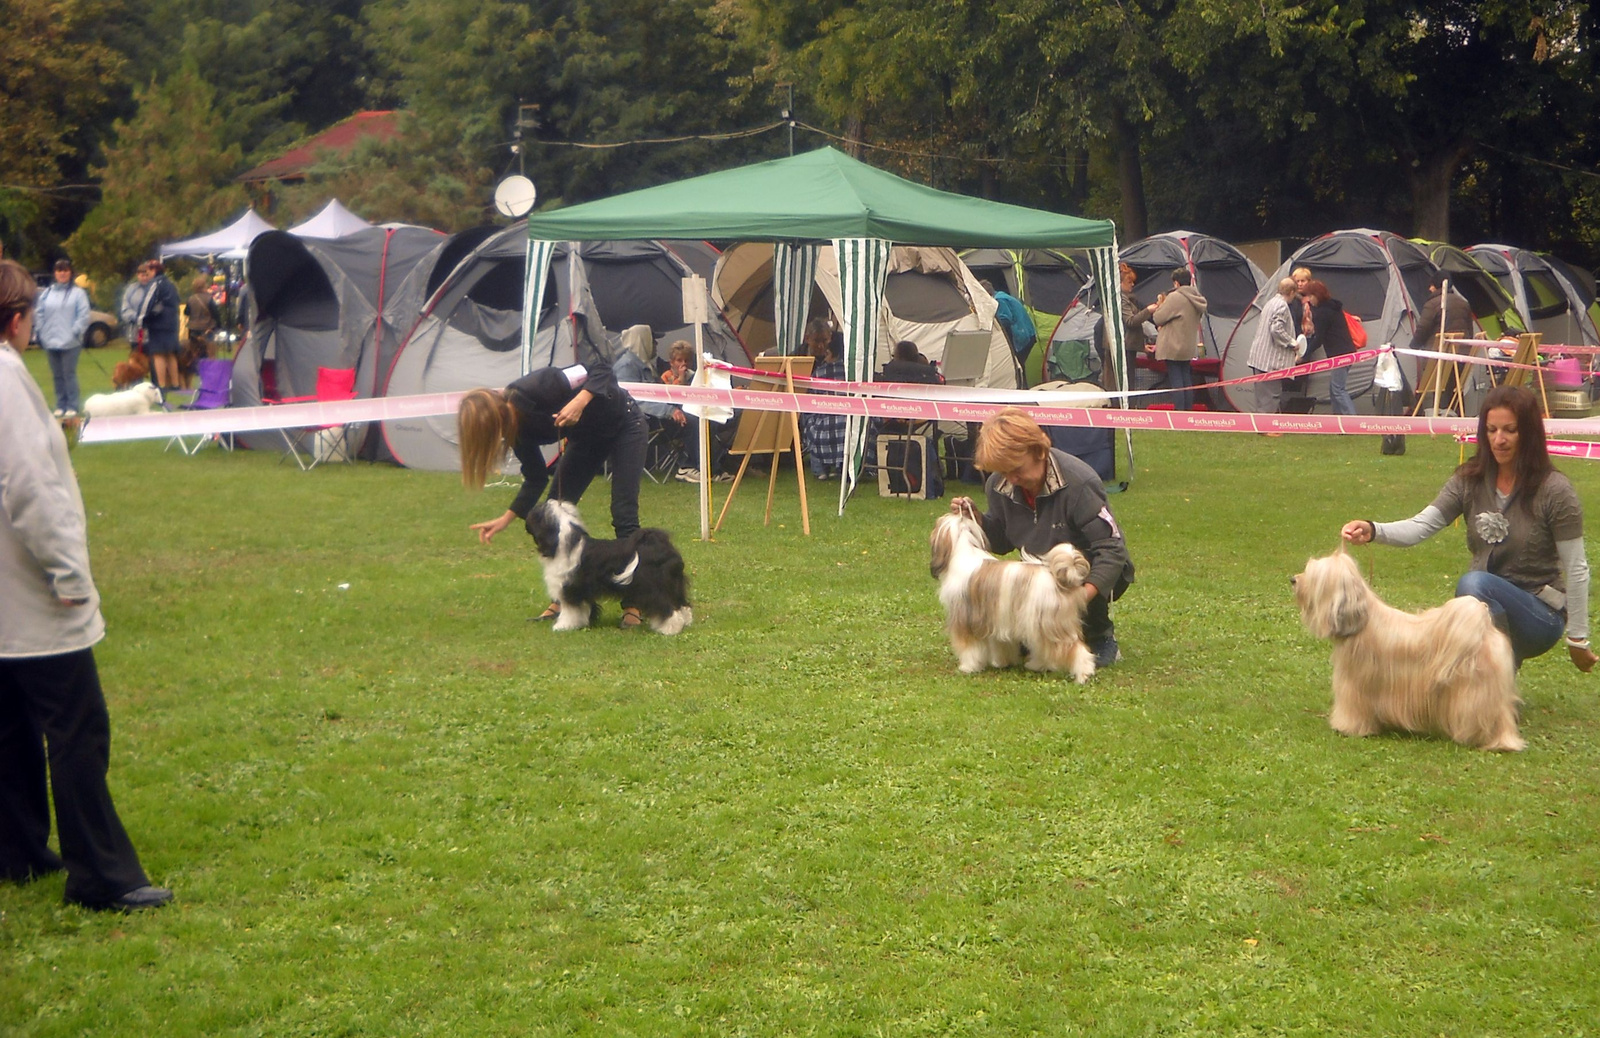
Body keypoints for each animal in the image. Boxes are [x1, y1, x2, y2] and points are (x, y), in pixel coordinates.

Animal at [524, 499, 694, 636]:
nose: (526, 518)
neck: (561, 543)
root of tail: (662, 546)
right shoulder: (583, 590)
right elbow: (583, 608)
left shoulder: (570, 589)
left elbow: (570, 610)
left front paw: (563, 626)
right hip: (673, 583)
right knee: (682, 604)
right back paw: (685, 622)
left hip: (653, 587)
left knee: (667, 608)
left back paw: (669, 629)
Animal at [928, 499, 1100, 681]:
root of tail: (1058, 580)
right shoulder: (997, 620)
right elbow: (1001, 645)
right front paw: (1002, 662)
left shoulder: (966, 619)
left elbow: (970, 649)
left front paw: (968, 667)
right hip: (1036, 624)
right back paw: (1036, 665)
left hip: (1050, 624)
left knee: (1075, 648)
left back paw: (1084, 674)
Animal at [1286, 553, 1523, 748]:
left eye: (1314, 576)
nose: (1293, 579)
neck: (1361, 621)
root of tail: (1484, 629)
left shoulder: (1354, 685)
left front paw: (1348, 727)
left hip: (1473, 691)